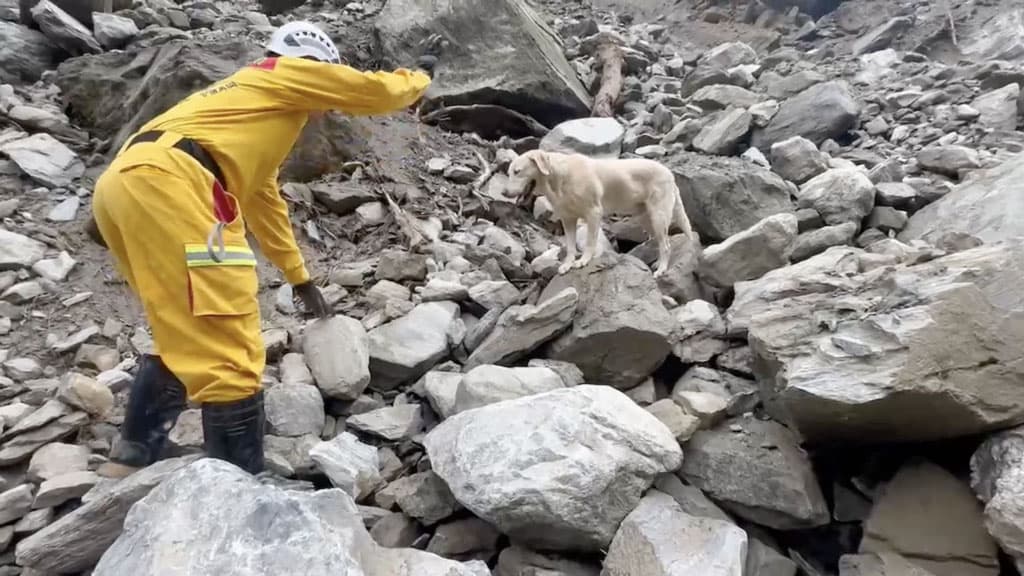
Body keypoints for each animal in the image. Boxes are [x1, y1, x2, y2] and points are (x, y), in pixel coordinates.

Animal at [503, 148, 696, 276]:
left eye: (517, 171)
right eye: (509, 172)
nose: (504, 193)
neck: (560, 178)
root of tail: (669, 173)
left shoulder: (593, 213)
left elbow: (590, 242)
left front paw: (583, 261)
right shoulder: (568, 219)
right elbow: (570, 246)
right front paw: (567, 264)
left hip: (658, 216)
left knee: (666, 245)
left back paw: (662, 269)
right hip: (645, 218)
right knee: (662, 242)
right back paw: (657, 263)